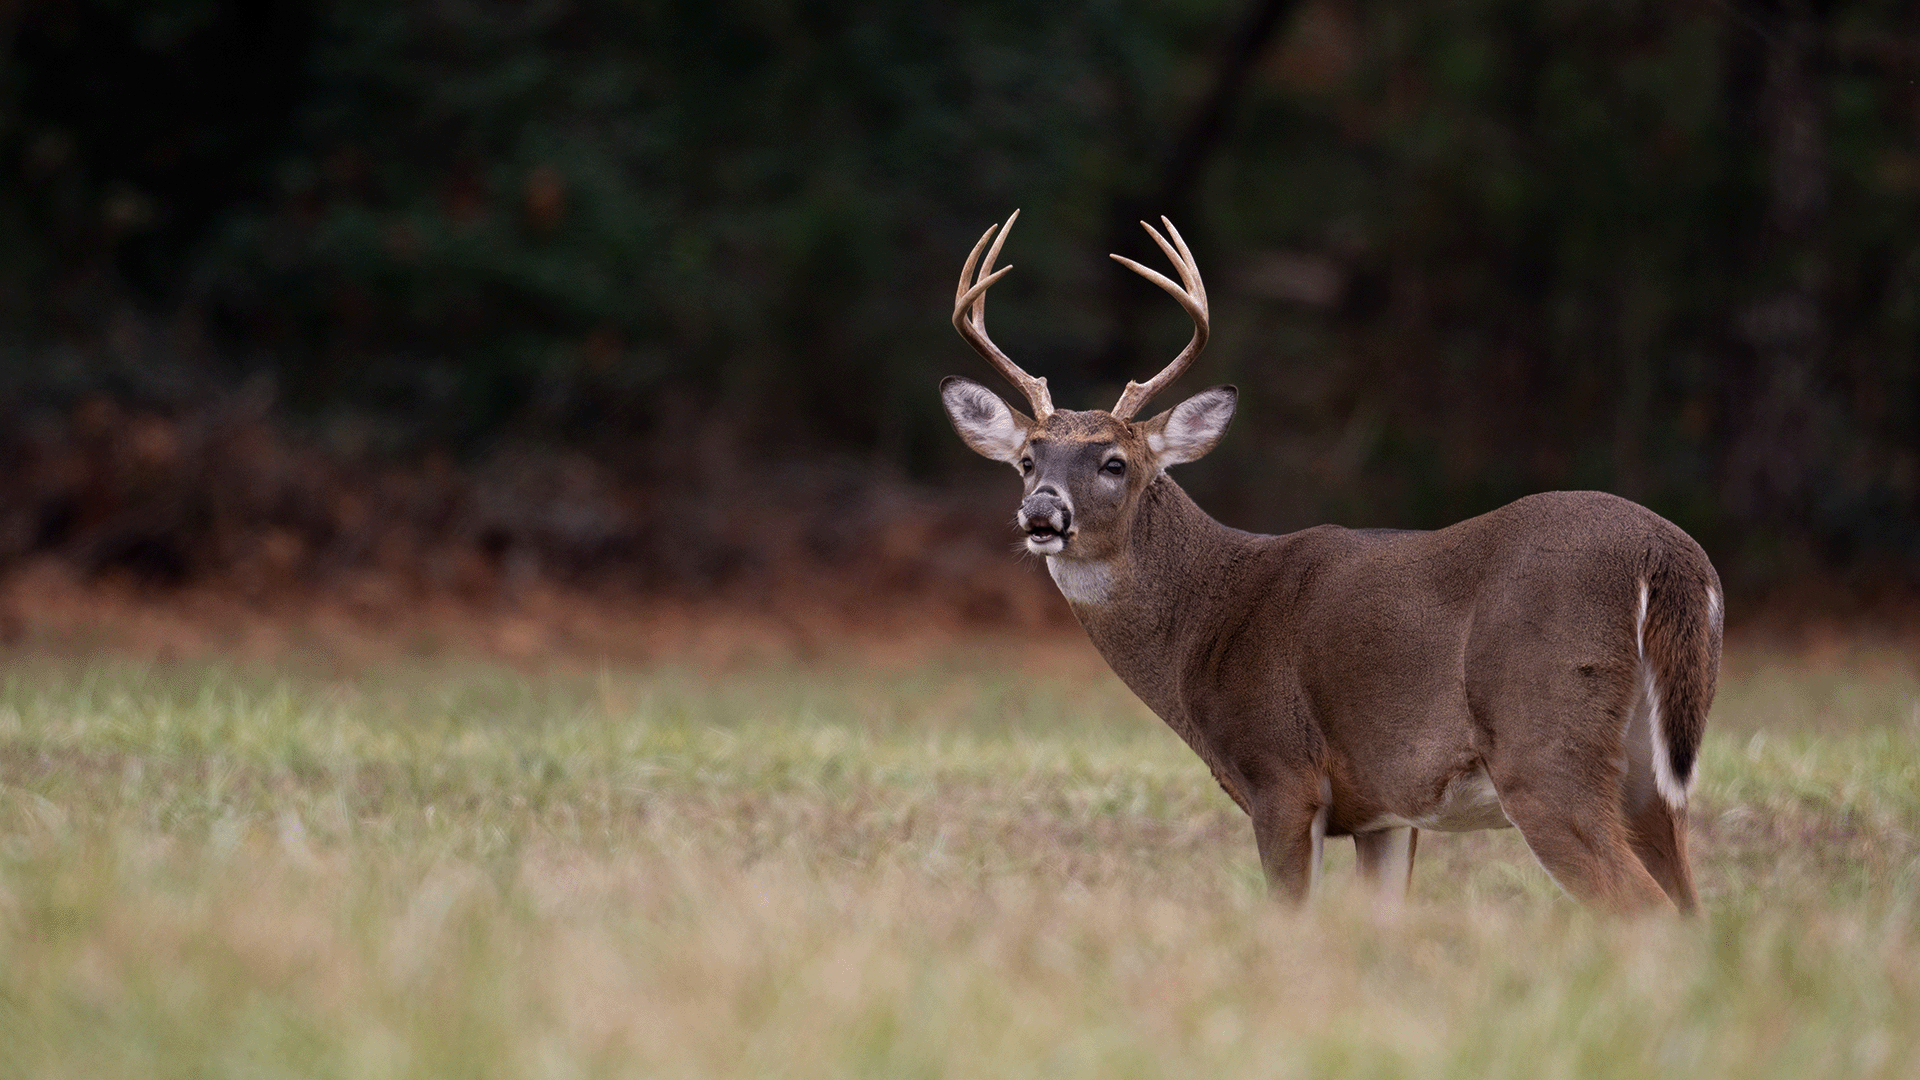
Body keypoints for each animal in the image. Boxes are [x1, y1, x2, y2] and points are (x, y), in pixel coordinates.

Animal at [940, 212, 1728, 907]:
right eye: (1027, 460)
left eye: (1114, 463)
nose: (1043, 515)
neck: (1206, 623)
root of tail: (1669, 554)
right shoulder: (1385, 810)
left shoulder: (1282, 774)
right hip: (1649, 776)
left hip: (1545, 747)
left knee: (1643, 910)